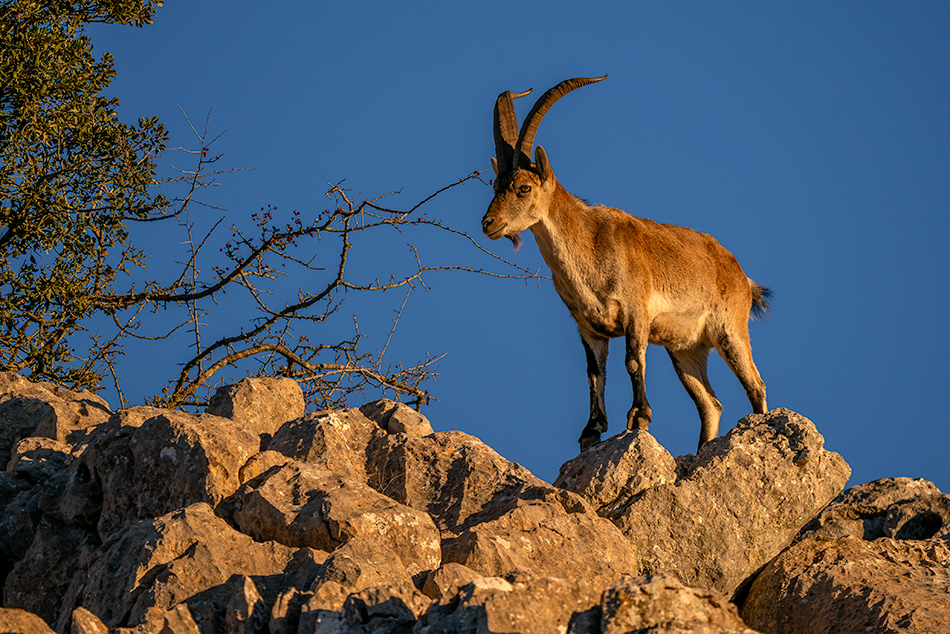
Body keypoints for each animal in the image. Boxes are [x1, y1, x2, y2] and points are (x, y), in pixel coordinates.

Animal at [484, 75, 772, 450]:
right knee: (710, 404)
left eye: (522, 187)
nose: (488, 223)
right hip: (686, 349)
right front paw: (591, 430)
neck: (590, 248)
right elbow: (595, 373)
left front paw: (639, 417)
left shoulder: (637, 312)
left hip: (730, 330)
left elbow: (633, 361)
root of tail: (740, 275)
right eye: (495, 184)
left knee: (755, 385)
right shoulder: (588, 326)